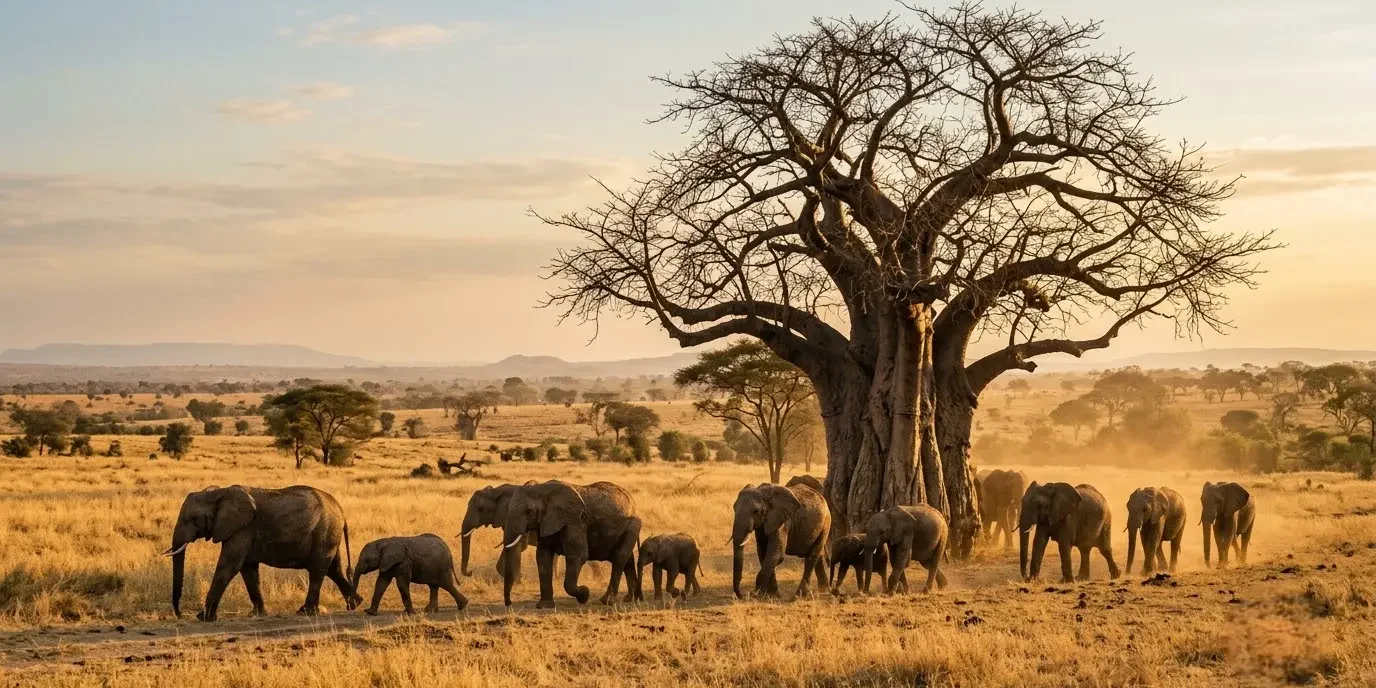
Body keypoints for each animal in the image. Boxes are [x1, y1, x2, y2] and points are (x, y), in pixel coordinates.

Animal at [163, 485, 361, 621]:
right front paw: (258, 614)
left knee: (317, 571)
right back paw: (355, 604)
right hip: (329, 534)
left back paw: (305, 612)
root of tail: (342, 512)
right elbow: (248, 570)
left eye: (193, 519)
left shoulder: (243, 528)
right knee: (333, 569)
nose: (180, 614)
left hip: (325, 531)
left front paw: (204, 617)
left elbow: (228, 566)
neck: (219, 494)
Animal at [500, 480, 643, 608]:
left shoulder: (574, 521)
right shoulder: (546, 522)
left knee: (620, 558)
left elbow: (577, 556)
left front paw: (585, 594)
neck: (542, 489)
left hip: (632, 526)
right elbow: (542, 557)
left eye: (529, 511)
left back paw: (606, 601)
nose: (509, 603)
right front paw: (544, 606)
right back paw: (630, 599)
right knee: (628, 560)